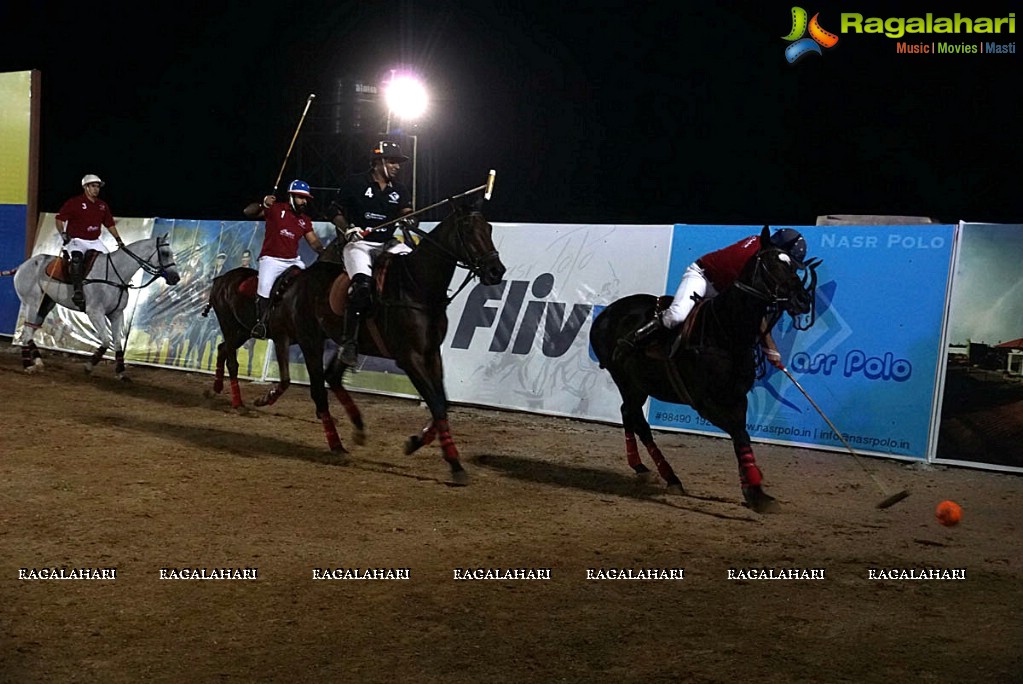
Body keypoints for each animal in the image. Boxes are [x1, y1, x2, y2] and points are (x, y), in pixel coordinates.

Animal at [11, 232, 182, 376]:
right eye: (165, 253)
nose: (176, 278)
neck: (115, 275)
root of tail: (22, 266)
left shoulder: (116, 314)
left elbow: (118, 343)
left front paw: (121, 372)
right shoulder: (95, 312)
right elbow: (106, 340)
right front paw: (89, 365)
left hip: (46, 304)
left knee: (30, 331)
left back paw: (37, 362)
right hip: (32, 302)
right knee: (27, 331)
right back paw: (28, 365)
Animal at [201, 205, 505, 482]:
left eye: (489, 228)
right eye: (468, 230)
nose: (496, 271)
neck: (416, 287)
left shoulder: (431, 354)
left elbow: (441, 403)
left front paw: (416, 442)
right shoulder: (409, 357)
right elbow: (437, 404)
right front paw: (454, 465)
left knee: (328, 376)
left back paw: (355, 426)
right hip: (295, 337)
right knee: (312, 386)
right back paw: (333, 443)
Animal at [589, 224, 818, 511]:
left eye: (795, 266)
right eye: (773, 264)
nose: (803, 300)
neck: (725, 331)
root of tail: (605, 313)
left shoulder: (737, 397)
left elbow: (741, 436)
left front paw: (754, 490)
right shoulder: (703, 401)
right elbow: (739, 434)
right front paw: (754, 488)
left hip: (638, 385)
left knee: (628, 414)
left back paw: (647, 469)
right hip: (625, 380)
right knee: (637, 419)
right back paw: (666, 475)